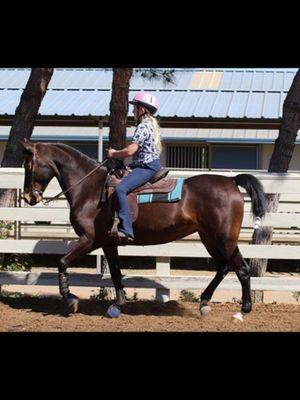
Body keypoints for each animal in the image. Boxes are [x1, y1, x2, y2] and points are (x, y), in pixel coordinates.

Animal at [20, 139, 264, 320]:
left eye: (28, 165)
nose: (29, 197)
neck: (90, 189)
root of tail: (231, 182)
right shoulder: (108, 243)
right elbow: (116, 273)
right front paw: (117, 305)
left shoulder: (89, 240)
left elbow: (62, 262)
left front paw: (70, 299)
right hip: (209, 237)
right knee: (223, 267)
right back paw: (204, 303)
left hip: (224, 238)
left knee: (242, 269)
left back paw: (242, 311)